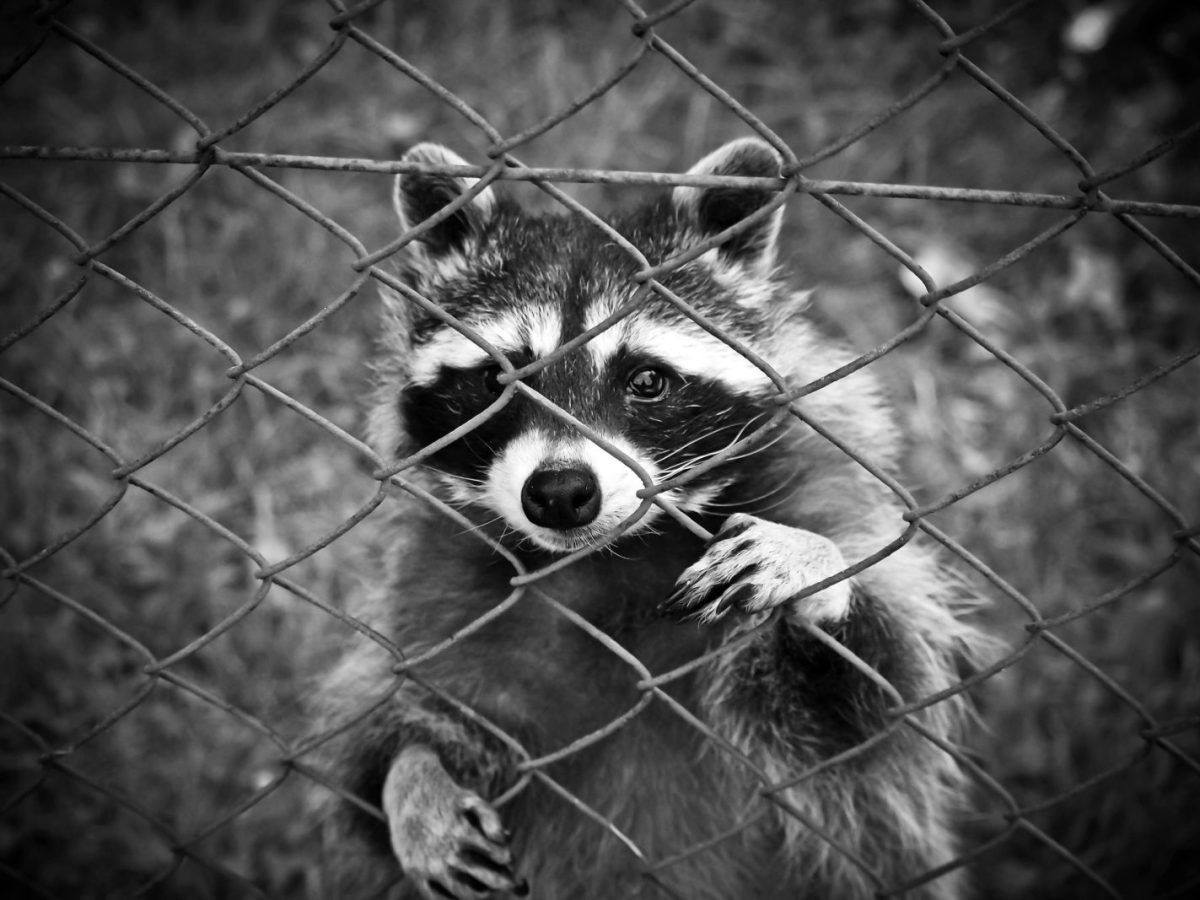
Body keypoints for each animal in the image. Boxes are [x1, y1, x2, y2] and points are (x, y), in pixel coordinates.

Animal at [314, 138, 988, 900]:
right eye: (497, 381)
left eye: (646, 380)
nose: (560, 492)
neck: (610, 561)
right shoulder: (439, 591)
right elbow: (389, 730)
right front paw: (412, 778)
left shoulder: (821, 490)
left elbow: (868, 726)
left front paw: (816, 570)